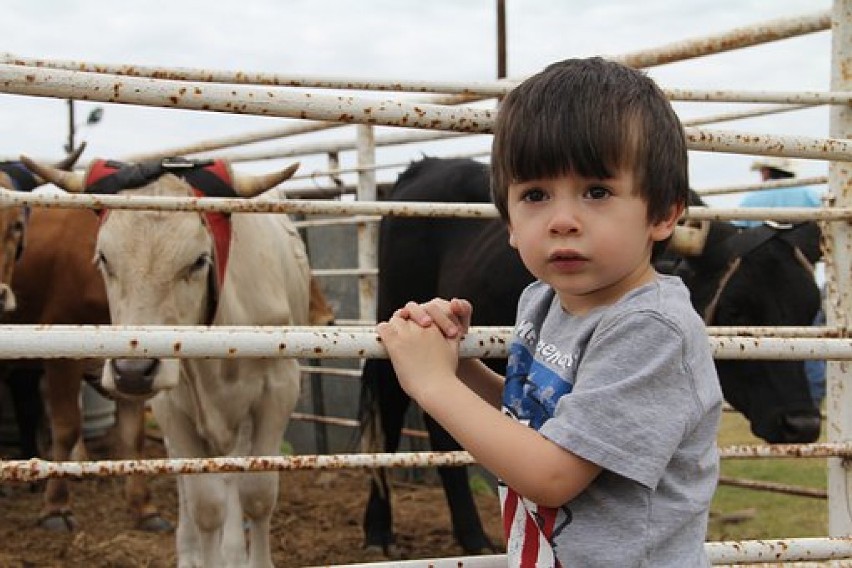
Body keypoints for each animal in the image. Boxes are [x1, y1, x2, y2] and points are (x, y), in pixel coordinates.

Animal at [25, 156, 312, 568]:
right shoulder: (170, 405)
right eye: (104, 258)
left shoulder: (278, 390)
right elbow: (204, 503)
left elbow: (256, 494)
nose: (131, 372)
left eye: (199, 261)